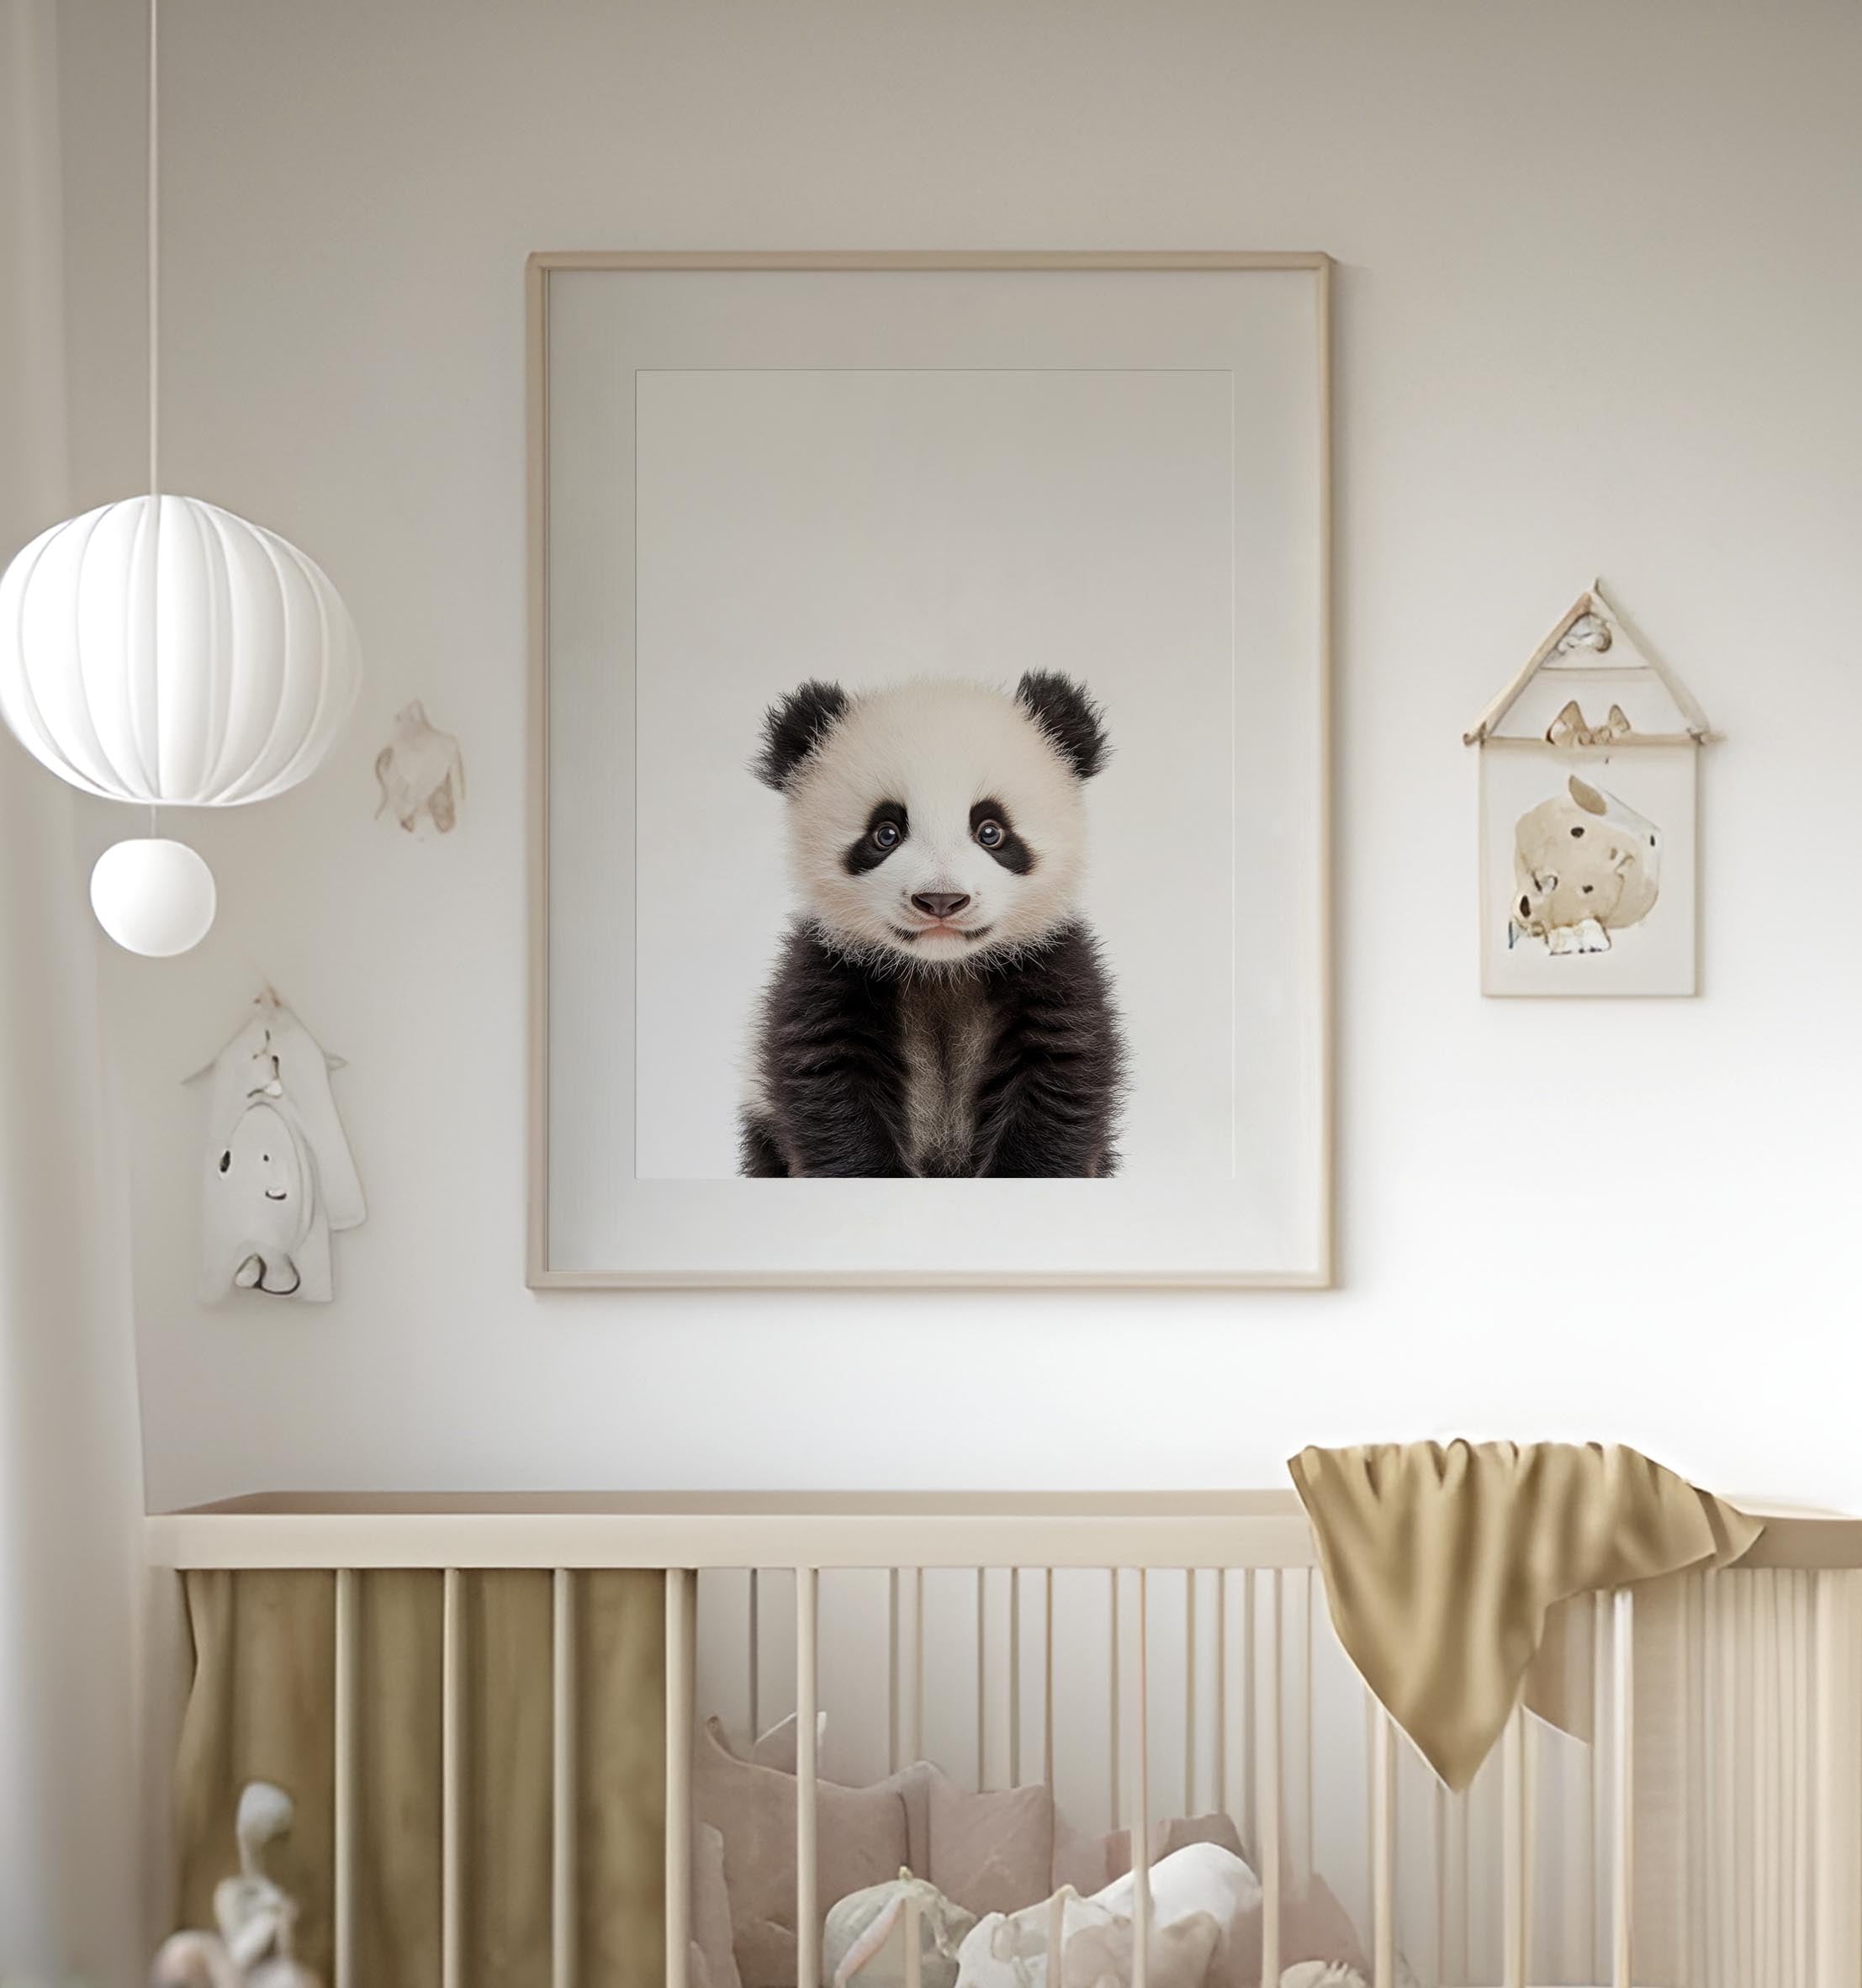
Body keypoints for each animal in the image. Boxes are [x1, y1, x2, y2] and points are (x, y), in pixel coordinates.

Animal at [740, 670, 1127, 1178]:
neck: (941, 969)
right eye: (885, 833)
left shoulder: (1051, 967)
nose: (941, 900)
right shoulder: (830, 971)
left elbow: (1058, 1075)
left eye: (991, 831)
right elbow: (830, 1082)